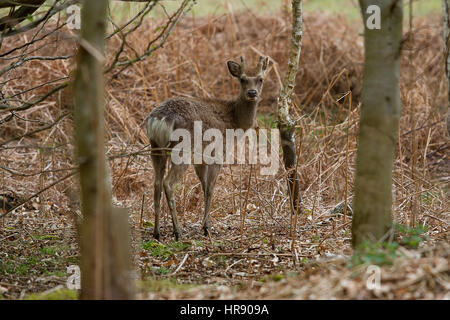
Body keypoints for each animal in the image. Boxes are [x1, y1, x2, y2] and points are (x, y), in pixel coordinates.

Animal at [146, 55, 268, 240]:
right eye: (242, 79)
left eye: (260, 79)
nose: (252, 93)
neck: (233, 122)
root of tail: (159, 120)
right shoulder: (217, 152)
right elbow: (210, 189)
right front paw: (206, 227)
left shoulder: (200, 158)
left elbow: (203, 187)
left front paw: (205, 225)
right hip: (182, 149)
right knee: (168, 183)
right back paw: (177, 231)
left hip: (156, 148)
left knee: (157, 184)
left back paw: (157, 232)